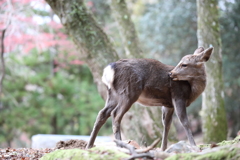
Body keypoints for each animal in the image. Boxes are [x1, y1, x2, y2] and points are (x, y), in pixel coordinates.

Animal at [86, 46, 214, 150]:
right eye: (181, 63)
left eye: (184, 64)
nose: (170, 74)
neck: (191, 90)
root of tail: (109, 70)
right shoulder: (178, 96)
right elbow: (185, 122)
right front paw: (194, 146)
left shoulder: (168, 104)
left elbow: (166, 125)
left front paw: (163, 149)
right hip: (128, 92)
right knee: (116, 114)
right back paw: (120, 146)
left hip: (112, 94)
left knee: (102, 113)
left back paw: (89, 145)